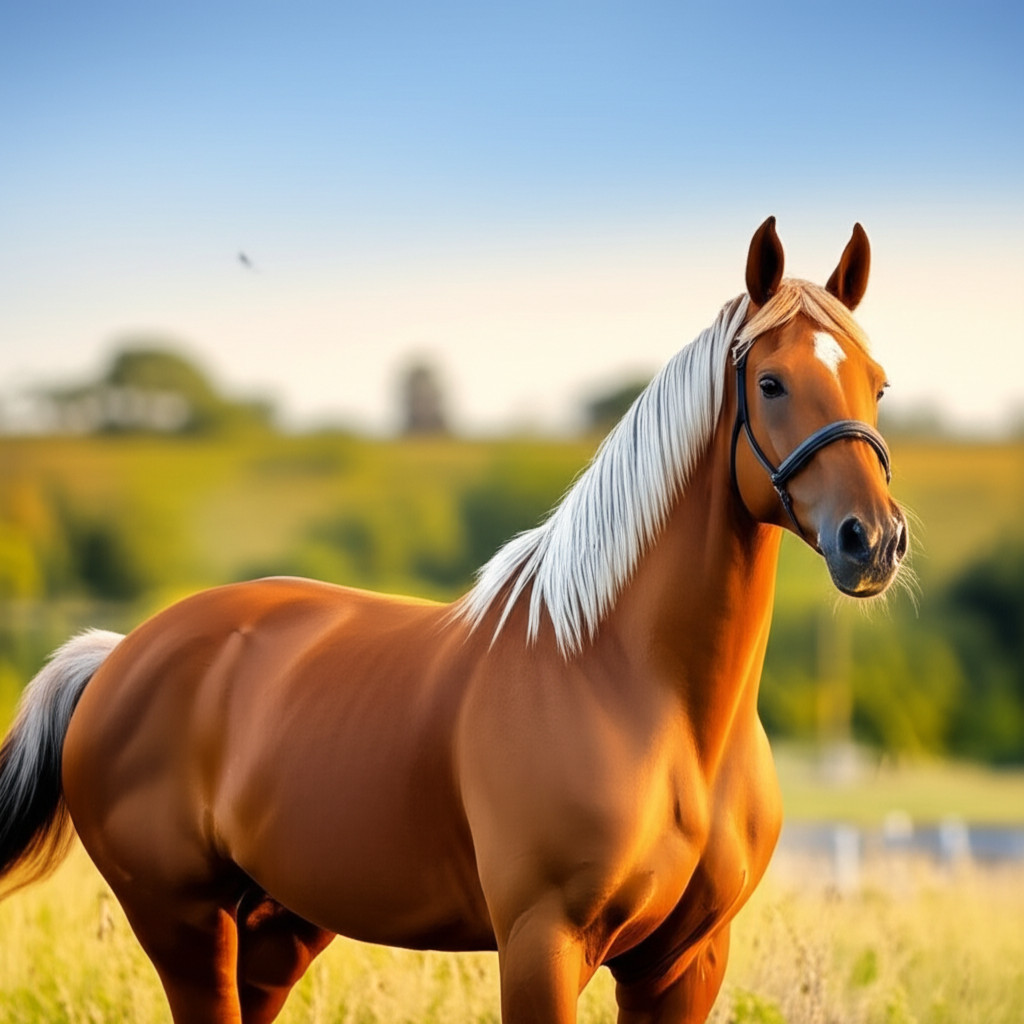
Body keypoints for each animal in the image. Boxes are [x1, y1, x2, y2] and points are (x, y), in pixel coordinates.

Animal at [0, 217, 908, 1024]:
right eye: (771, 382)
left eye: (877, 383)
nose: (873, 541)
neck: (641, 696)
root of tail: (119, 655)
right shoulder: (542, 945)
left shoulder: (684, 963)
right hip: (185, 927)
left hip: (276, 928)